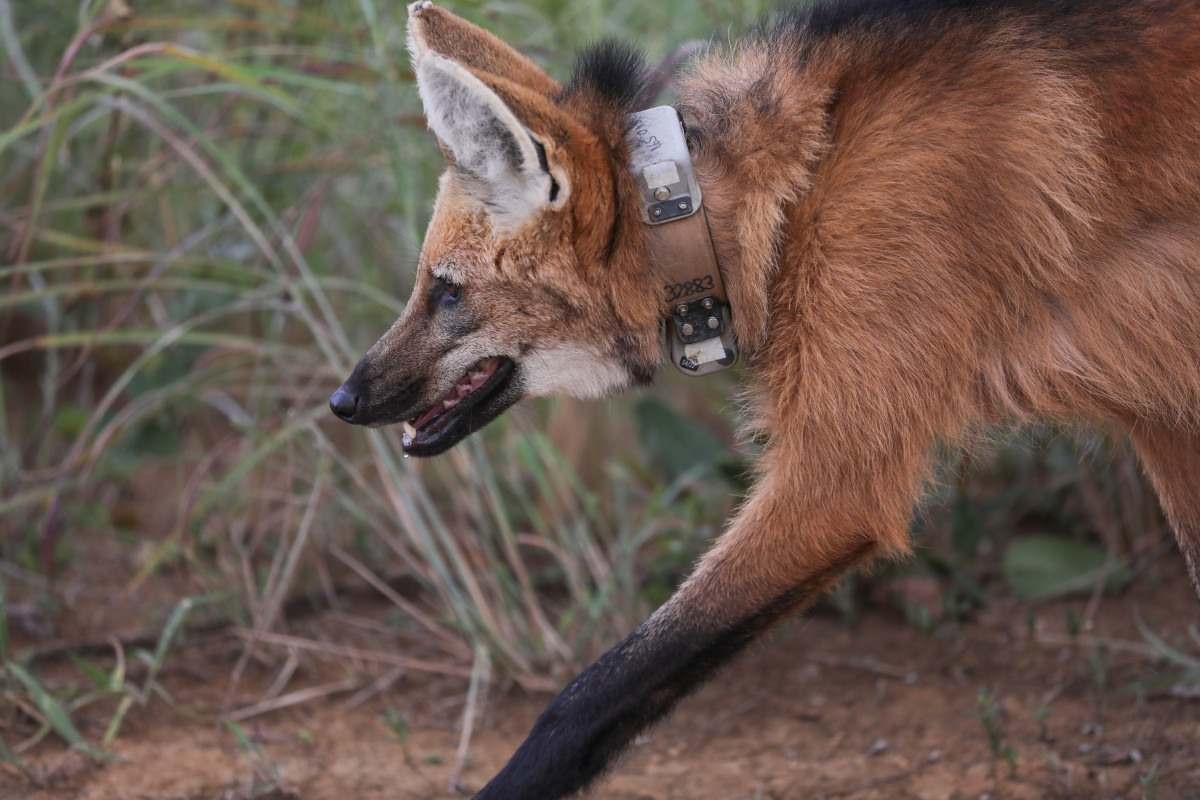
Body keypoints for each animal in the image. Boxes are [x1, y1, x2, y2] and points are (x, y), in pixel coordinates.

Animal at [328, 0, 1200, 796]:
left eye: (446, 293)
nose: (344, 399)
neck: (772, 200)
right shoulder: (1163, 414)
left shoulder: (836, 481)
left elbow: (587, 698)